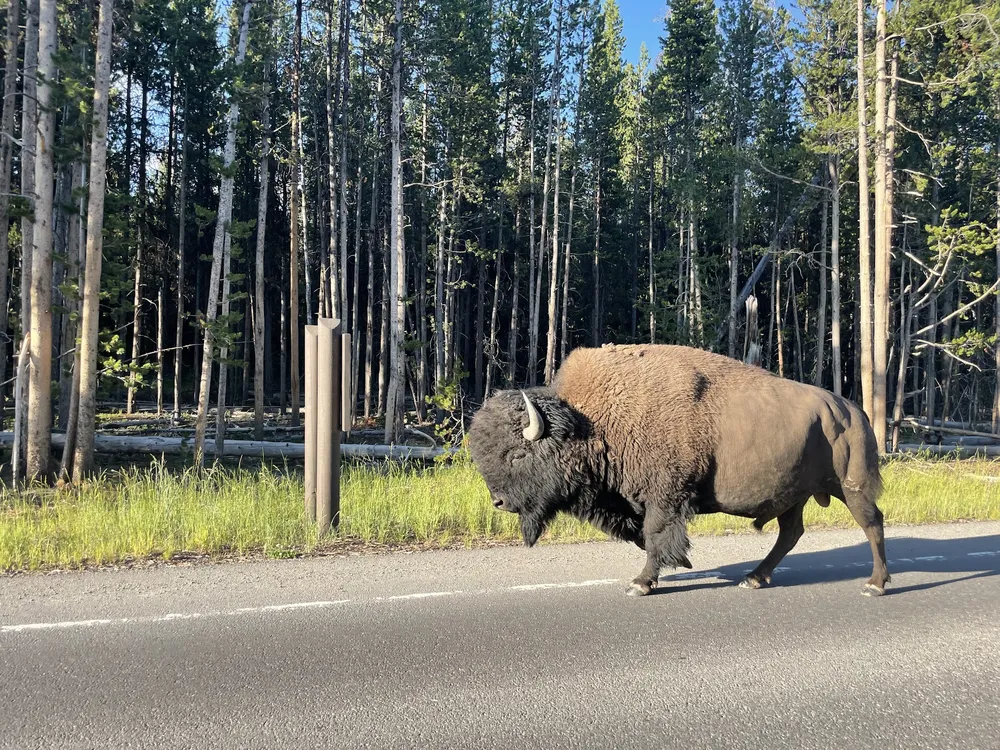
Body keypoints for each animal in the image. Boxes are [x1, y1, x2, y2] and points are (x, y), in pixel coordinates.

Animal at [468, 344, 890, 597]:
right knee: (791, 533)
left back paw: (876, 584)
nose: (498, 502)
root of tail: (850, 410)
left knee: (872, 523)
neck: (591, 422)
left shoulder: (665, 496)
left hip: (850, 486)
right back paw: (753, 578)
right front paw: (681, 564)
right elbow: (643, 536)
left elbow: (654, 535)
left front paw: (641, 584)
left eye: (517, 455)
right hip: (794, 496)